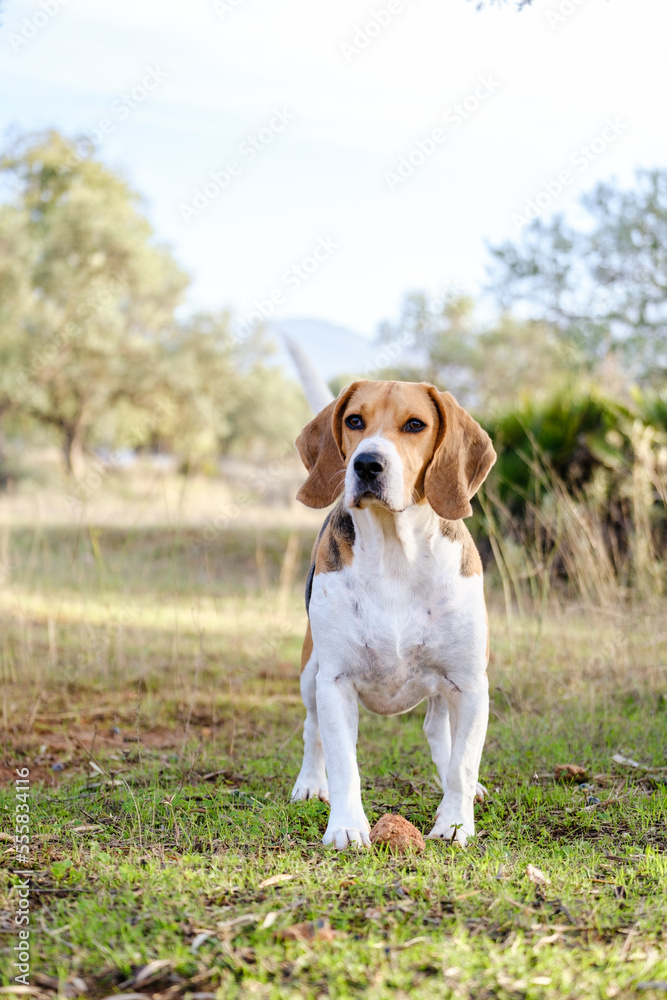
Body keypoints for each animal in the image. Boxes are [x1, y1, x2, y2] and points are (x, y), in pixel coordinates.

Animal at [292, 378, 496, 848]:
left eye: (415, 424)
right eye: (354, 421)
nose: (367, 464)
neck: (395, 555)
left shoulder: (471, 684)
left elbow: (462, 763)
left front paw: (454, 824)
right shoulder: (335, 682)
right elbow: (343, 764)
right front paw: (346, 827)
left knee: (439, 734)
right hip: (310, 673)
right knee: (313, 731)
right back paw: (310, 783)